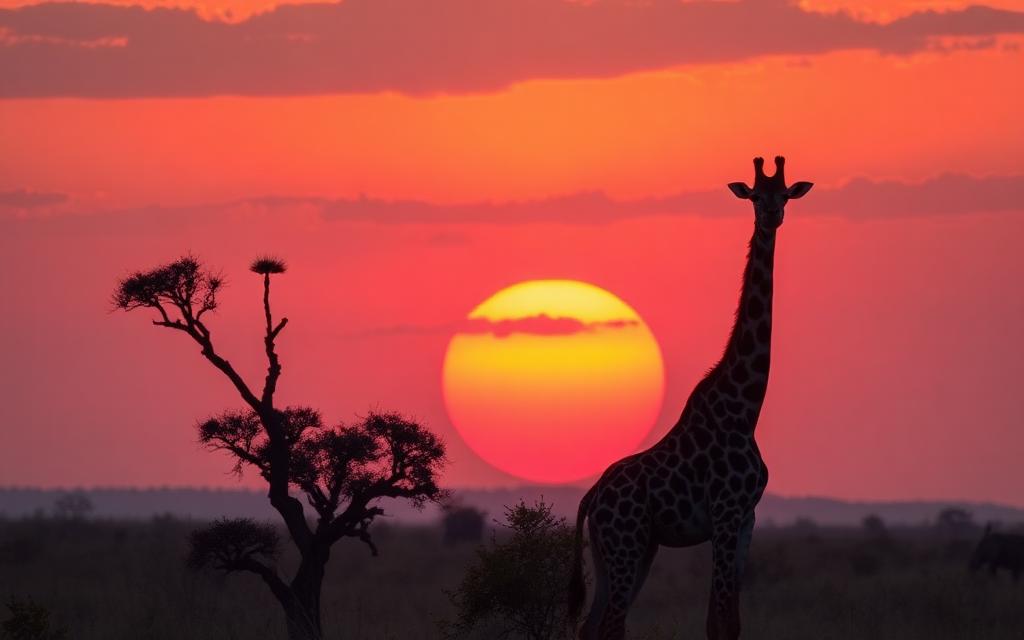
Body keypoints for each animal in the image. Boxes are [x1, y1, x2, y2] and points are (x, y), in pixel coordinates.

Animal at [568, 156, 812, 640]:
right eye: (755, 196)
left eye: (784, 194)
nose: (772, 215)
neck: (745, 409)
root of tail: (593, 497)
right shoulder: (724, 513)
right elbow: (720, 621)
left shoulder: (746, 518)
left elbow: (727, 621)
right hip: (626, 544)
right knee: (612, 624)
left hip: (624, 549)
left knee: (592, 627)